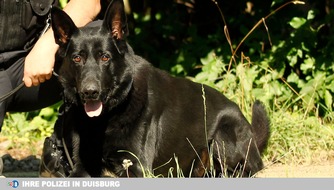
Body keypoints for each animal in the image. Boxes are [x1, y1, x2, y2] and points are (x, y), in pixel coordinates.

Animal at [52, 0, 270, 177]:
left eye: (105, 57)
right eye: (77, 58)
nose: (90, 92)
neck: (104, 119)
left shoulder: (137, 168)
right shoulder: (82, 165)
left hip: (222, 136)